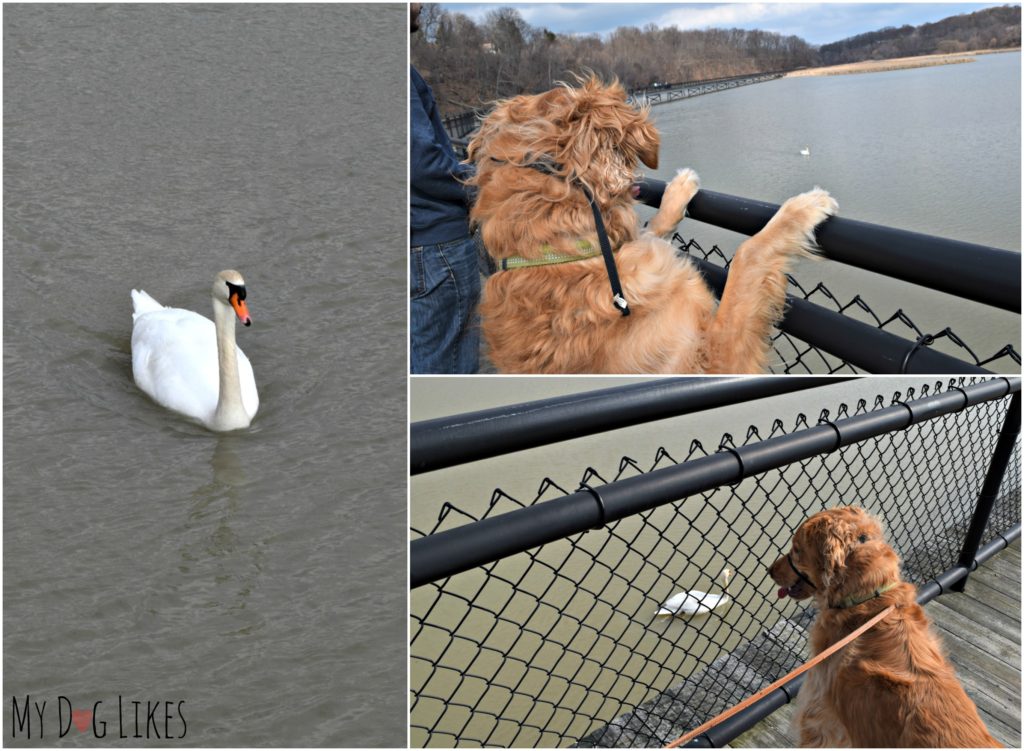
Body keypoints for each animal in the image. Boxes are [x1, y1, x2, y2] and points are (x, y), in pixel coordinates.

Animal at [468, 76, 835, 374]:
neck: (559, 248)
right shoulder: (712, 360)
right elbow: (748, 252)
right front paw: (802, 208)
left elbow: (652, 228)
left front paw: (677, 192)